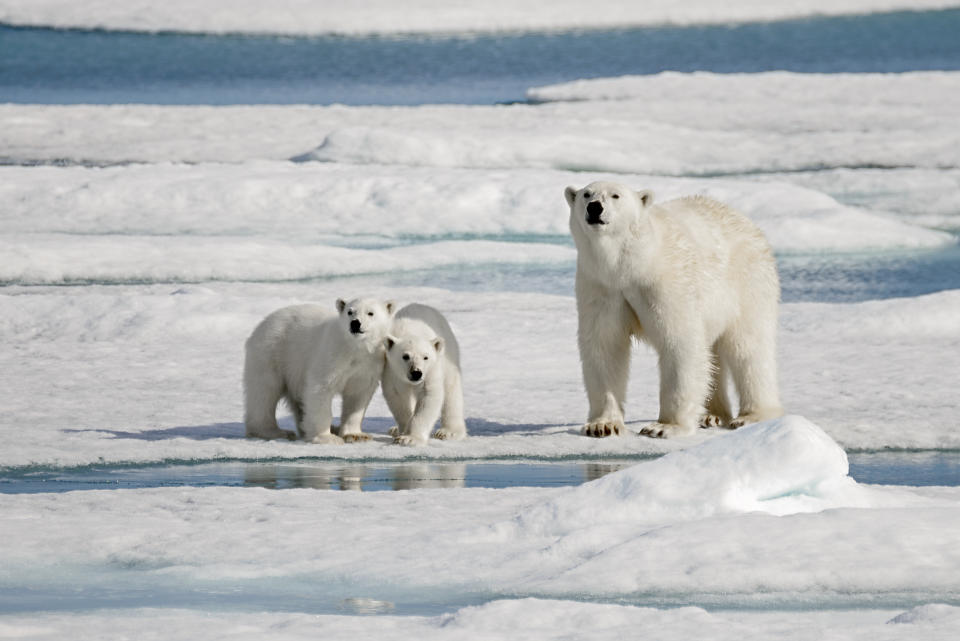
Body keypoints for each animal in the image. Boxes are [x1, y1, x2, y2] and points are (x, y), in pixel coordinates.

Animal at [568, 182, 784, 438]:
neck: (632, 264)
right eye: (586, 194)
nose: (594, 208)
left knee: (748, 348)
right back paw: (710, 415)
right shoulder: (602, 287)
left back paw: (751, 416)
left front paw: (663, 427)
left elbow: (680, 342)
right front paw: (602, 425)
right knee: (713, 354)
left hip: (748, 282)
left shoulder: (665, 282)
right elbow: (605, 346)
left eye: (615, 195)